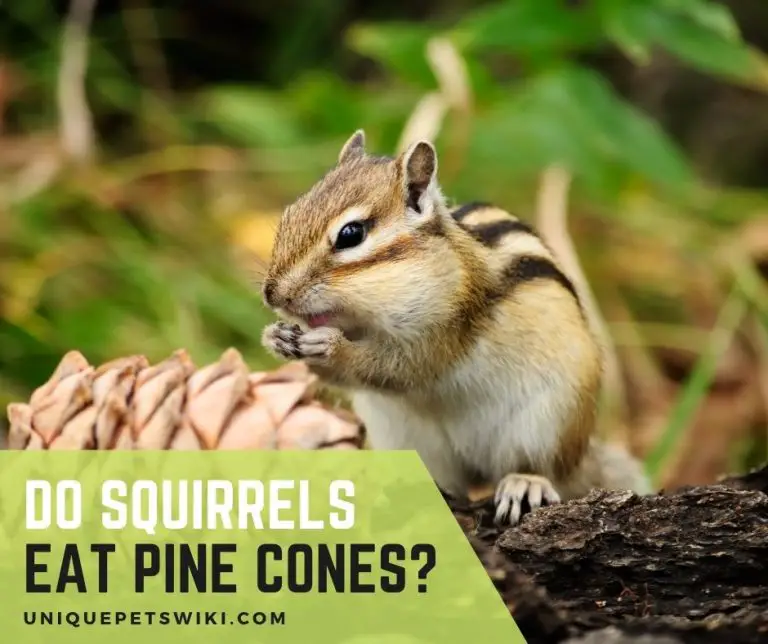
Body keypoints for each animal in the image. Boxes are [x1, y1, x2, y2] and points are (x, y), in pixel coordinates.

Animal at [260, 129, 652, 525]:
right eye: (290, 213)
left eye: (351, 234)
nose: (271, 294)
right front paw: (276, 337)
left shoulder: (445, 329)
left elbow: (397, 368)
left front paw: (330, 347)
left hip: (547, 423)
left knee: (543, 468)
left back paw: (525, 483)